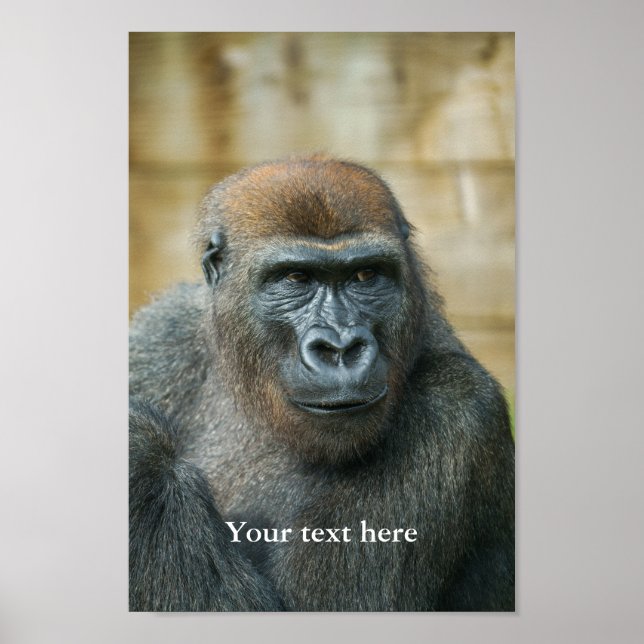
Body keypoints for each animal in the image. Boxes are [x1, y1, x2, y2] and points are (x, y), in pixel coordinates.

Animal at [129, 155, 514, 611]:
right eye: (296, 278)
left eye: (366, 275)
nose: (340, 346)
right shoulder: (160, 334)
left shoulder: (456, 407)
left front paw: (139, 453)